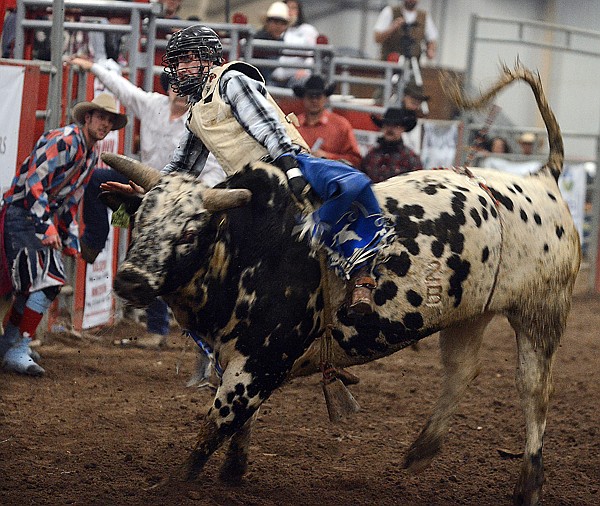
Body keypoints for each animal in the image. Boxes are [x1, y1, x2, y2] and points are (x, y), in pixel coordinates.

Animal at [105, 65, 580, 504]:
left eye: (189, 232)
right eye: (140, 220)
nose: (130, 279)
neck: (243, 245)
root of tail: (544, 178)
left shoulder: (257, 363)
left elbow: (216, 425)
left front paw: (174, 483)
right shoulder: (239, 361)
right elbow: (239, 424)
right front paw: (234, 470)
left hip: (542, 312)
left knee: (534, 390)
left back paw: (528, 483)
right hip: (470, 313)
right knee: (461, 371)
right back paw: (421, 451)